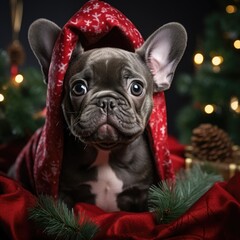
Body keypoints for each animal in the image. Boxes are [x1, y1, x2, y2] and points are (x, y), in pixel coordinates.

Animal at [25, 19, 186, 213]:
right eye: (79, 88)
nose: (107, 101)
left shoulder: (144, 192)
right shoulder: (64, 192)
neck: (107, 153)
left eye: (136, 88)